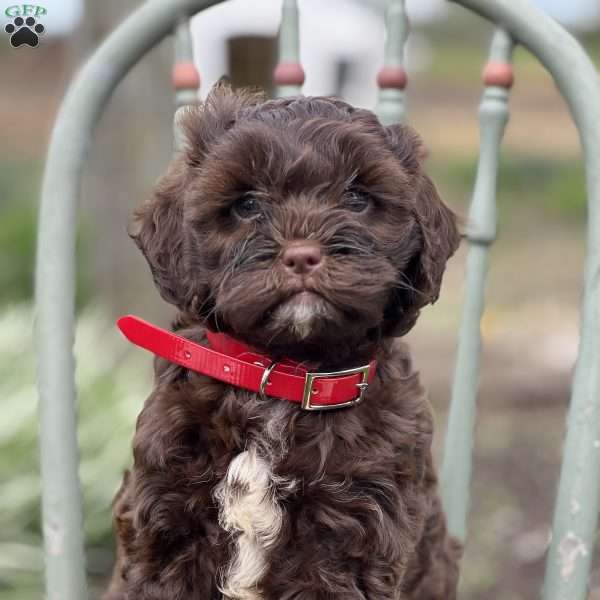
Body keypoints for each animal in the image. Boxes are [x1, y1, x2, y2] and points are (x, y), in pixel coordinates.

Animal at [103, 85, 462, 600]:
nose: (302, 255)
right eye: (248, 205)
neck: (279, 376)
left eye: (357, 198)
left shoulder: (349, 542)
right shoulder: (161, 528)